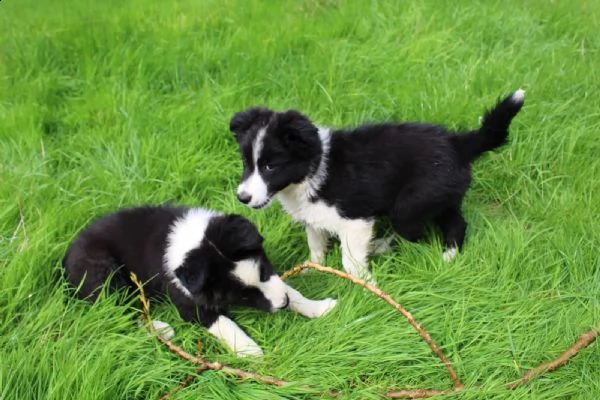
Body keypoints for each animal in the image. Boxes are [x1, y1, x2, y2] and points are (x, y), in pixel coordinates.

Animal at [65, 206, 340, 356]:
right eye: (242, 296)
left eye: (264, 271)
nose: (282, 305)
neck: (192, 243)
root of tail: (64, 261)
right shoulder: (190, 302)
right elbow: (225, 324)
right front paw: (250, 351)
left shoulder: (271, 281)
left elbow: (289, 289)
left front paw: (319, 307)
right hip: (105, 274)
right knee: (119, 310)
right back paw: (161, 328)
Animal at [230, 90, 524, 284]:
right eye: (247, 163)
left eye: (270, 166)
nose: (242, 197)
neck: (312, 168)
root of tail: (458, 143)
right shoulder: (312, 217)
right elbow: (315, 244)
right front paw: (315, 269)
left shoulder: (356, 220)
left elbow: (350, 261)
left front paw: (366, 286)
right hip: (439, 196)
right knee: (455, 222)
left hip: (409, 206)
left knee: (419, 232)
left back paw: (435, 257)